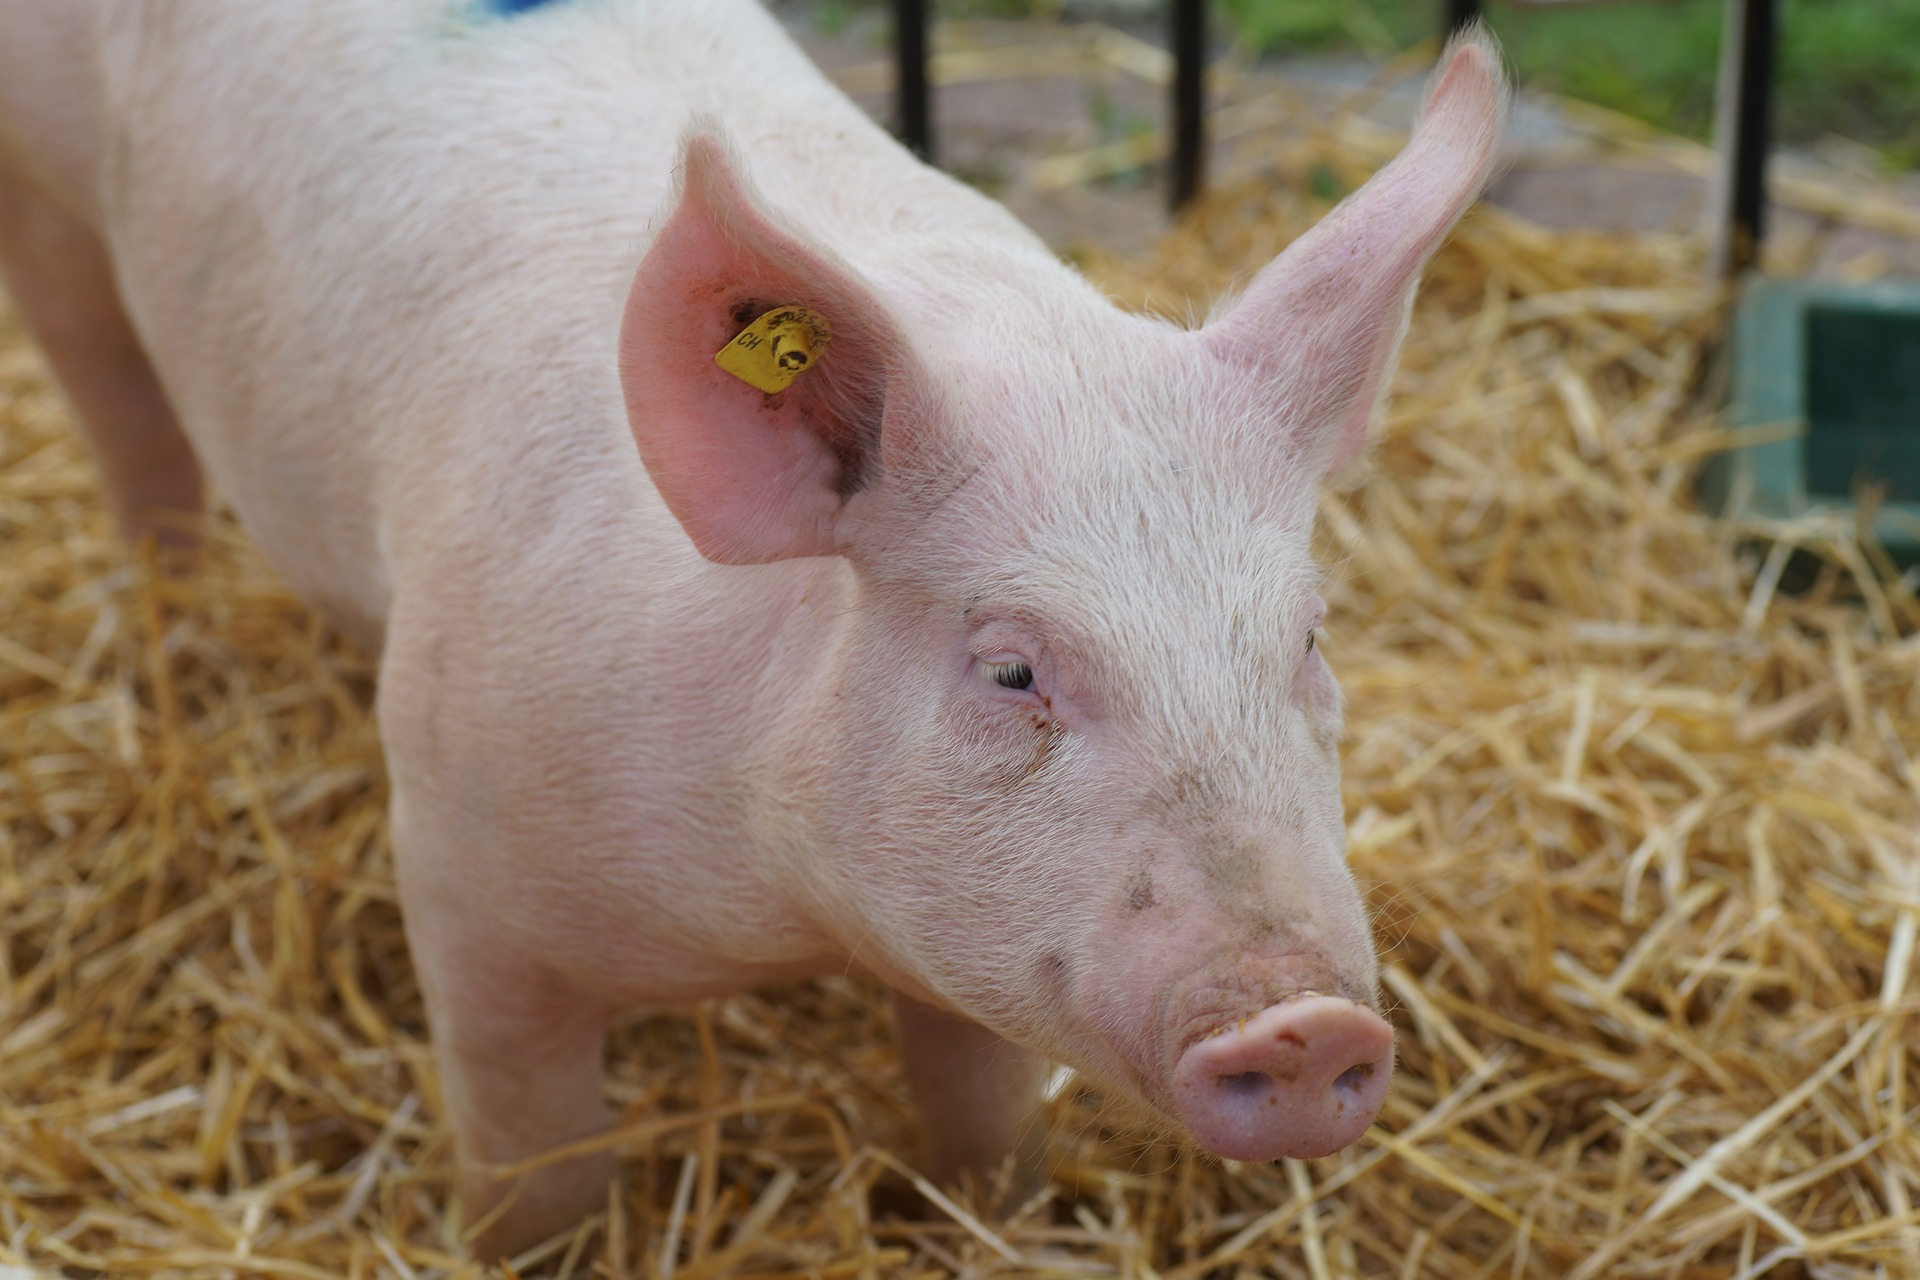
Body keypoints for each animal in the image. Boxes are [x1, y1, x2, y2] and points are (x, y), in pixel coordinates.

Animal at [0, 0, 1497, 1258]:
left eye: (1307, 641)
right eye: (1012, 666)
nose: (1305, 1019)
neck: (785, 910)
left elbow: (981, 1115)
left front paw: (993, 1221)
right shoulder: (460, 866)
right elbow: (533, 1153)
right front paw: (530, 1245)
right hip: (54, 199)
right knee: (118, 404)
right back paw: (162, 615)